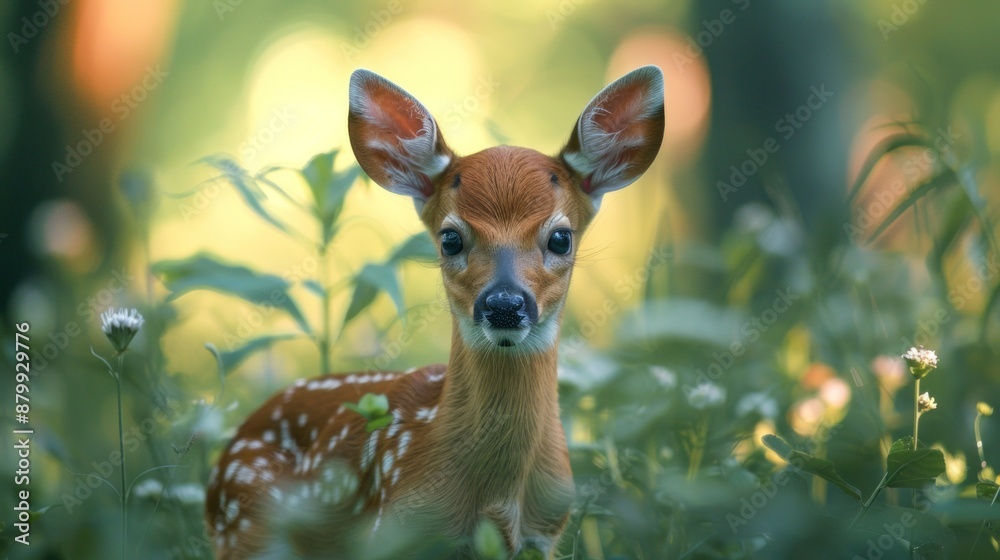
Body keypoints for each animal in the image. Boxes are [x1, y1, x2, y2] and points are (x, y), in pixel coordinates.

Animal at [205, 65, 664, 559]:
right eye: (451, 239)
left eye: (561, 238)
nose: (504, 305)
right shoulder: (392, 529)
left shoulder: (544, 535)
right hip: (247, 524)